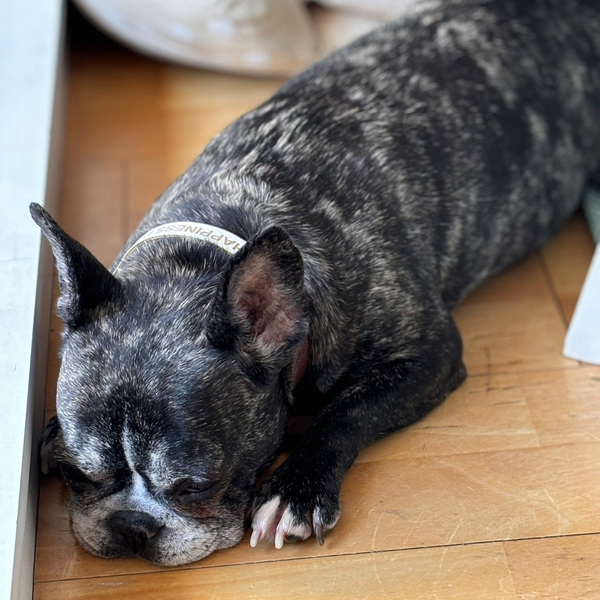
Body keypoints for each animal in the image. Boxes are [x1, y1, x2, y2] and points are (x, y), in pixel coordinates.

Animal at [32, 0, 600, 566]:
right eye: (76, 474)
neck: (208, 246)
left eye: (196, 486)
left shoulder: (426, 354)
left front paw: (296, 490)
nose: (131, 526)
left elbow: (345, 412)